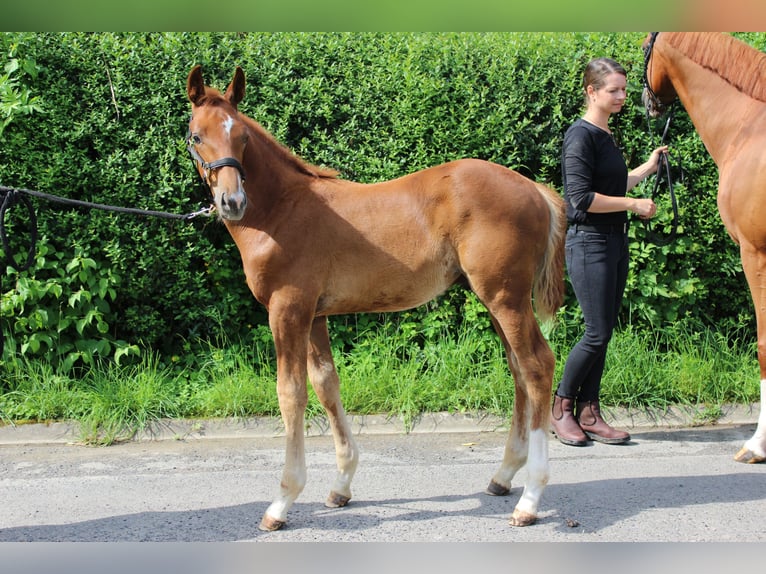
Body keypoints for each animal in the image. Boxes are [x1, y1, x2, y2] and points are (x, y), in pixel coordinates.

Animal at [186, 66, 568, 532]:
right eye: (197, 136)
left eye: (241, 136)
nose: (232, 201)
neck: (281, 211)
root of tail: (534, 188)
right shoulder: (315, 315)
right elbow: (325, 384)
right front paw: (341, 485)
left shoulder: (287, 309)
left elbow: (290, 393)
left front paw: (282, 501)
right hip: (495, 298)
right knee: (518, 368)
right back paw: (503, 476)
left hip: (504, 296)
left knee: (537, 365)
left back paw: (529, 499)